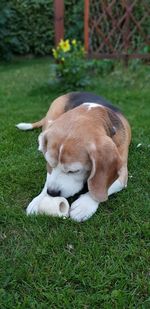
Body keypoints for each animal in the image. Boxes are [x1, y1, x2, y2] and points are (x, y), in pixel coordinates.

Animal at [16, 91, 131, 221]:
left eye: (74, 171)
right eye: (49, 164)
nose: (52, 193)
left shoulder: (122, 172)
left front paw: (84, 206)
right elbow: (49, 178)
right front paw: (39, 199)